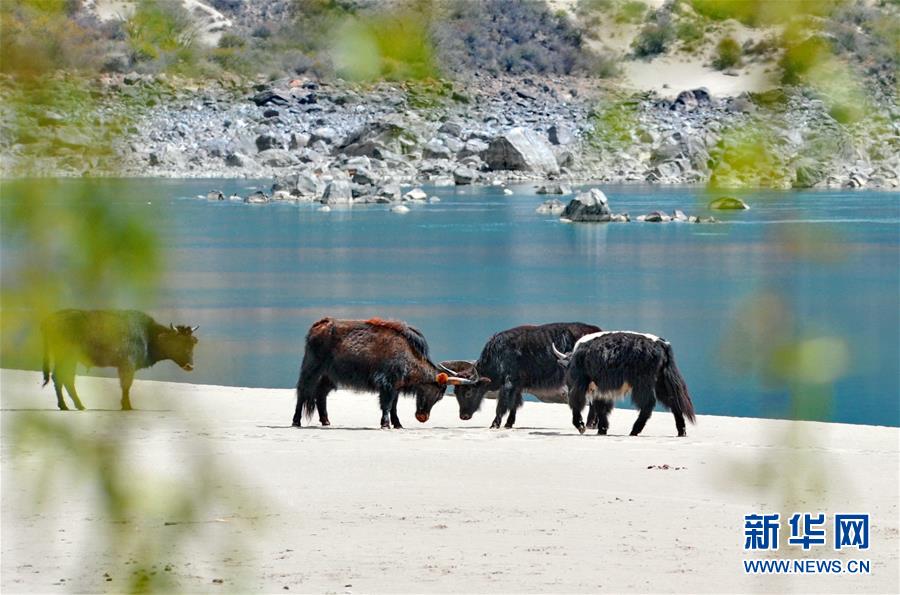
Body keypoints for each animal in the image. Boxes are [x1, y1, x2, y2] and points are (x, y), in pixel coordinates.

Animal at [42, 312, 199, 410]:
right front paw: (127, 406)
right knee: (63, 378)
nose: (190, 366)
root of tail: (50, 320)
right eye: (178, 342)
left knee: (62, 378)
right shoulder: (127, 366)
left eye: (192, 342)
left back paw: (70, 406)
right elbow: (126, 386)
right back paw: (74, 406)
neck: (149, 334)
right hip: (68, 358)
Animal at [296, 318, 478, 430]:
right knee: (303, 392)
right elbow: (387, 405)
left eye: (440, 396)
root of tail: (318, 325)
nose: (422, 417)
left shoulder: (396, 387)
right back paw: (296, 421)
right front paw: (385, 424)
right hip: (312, 370)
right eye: (435, 392)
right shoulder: (387, 385)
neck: (406, 356)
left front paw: (397, 424)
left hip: (329, 377)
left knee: (321, 394)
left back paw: (326, 421)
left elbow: (394, 407)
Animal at [438, 322, 600, 428]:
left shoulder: (508, 384)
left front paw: (495, 424)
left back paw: (590, 424)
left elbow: (503, 404)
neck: (498, 355)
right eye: (456, 392)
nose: (463, 416)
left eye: (469, 392)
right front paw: (509, 423)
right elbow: (514, 405)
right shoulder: (517, 385)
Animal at [556, 330, 696, 438]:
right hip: (661, 382)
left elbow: (577, 402)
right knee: (674, 402)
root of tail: (660, 343)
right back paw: (681, 432)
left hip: (642, 382)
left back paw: (634, 430)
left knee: (648, 404)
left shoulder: (581, 383)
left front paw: (581, 426)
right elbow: (601, 407)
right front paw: (602, 429)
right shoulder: (602, 389)